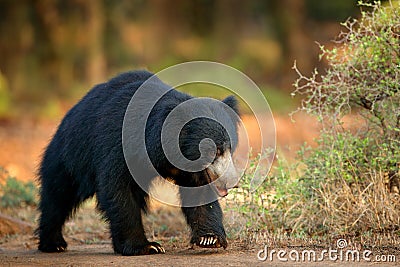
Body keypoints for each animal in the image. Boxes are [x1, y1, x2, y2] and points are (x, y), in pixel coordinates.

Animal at [36, 70, 239, 256]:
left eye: (229, 148)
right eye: (214, 151)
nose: (233, 182)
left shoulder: (192, 170)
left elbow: (200, 194)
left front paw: (209, 238)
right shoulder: (121, 146)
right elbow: (119, 188)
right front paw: (146, 246)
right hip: (70, 156)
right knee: (58, 196)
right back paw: (53, 243)